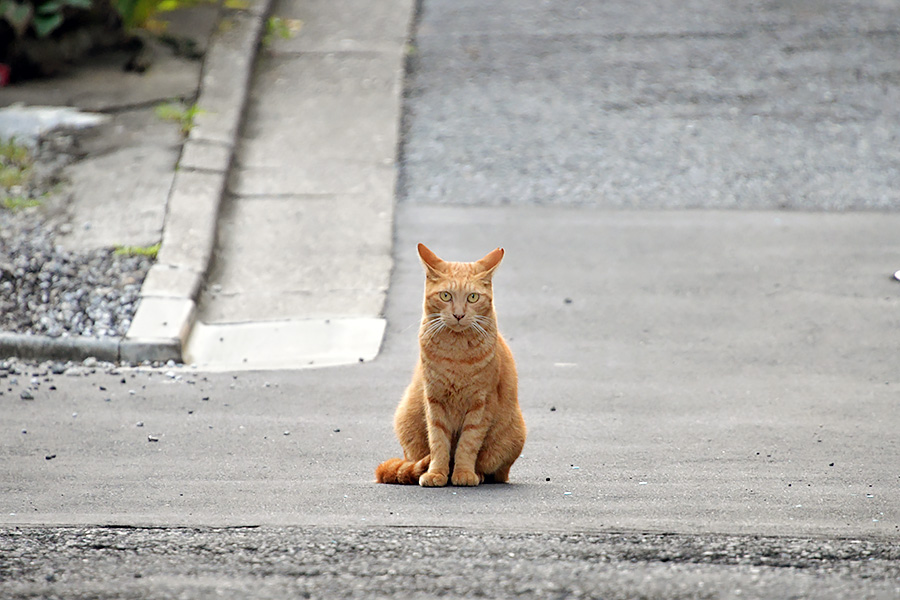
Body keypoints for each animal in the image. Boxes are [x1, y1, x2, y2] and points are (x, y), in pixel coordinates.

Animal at [374, 244, 528, 488]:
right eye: (446, 295)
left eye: (473, 297)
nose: (458, 314)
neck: (456, 355)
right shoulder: (434, 401)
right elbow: (438, 442)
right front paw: (437, 472)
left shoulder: (481, 404)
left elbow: (468, 443)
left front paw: (463, 473)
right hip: (405, 418)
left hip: (513, 437)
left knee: (496, 472)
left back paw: (479, 474)